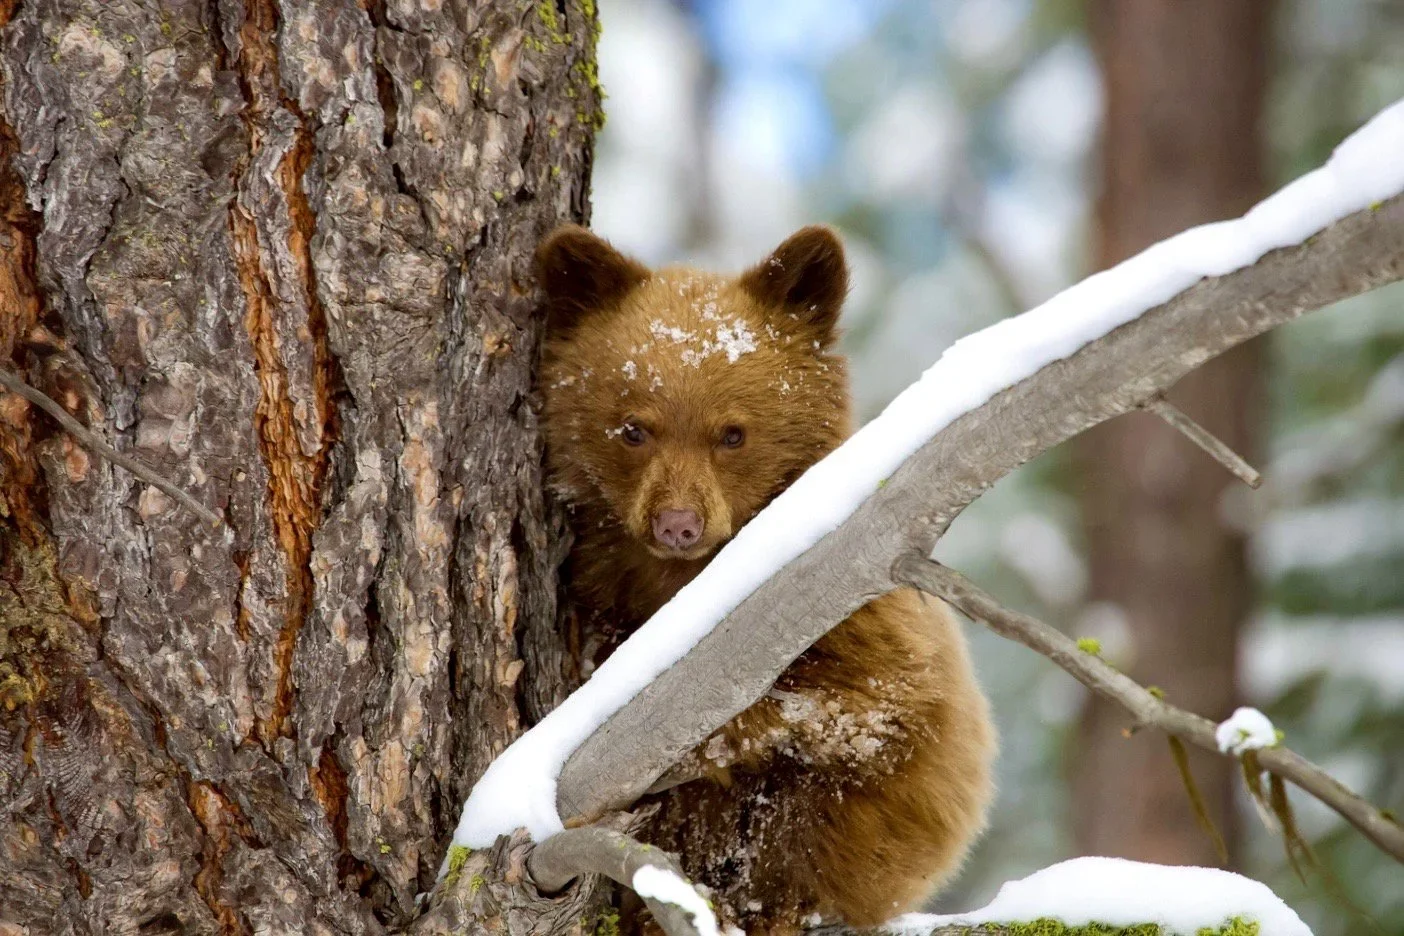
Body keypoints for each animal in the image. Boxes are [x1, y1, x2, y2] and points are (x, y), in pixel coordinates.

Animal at [535, 223, 996, 933]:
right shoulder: (600, 577)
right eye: (633, 428)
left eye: (733, 433)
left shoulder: (851, 604)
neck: (676, 578)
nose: (678, 524)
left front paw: (698, 741)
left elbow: (874, 703)